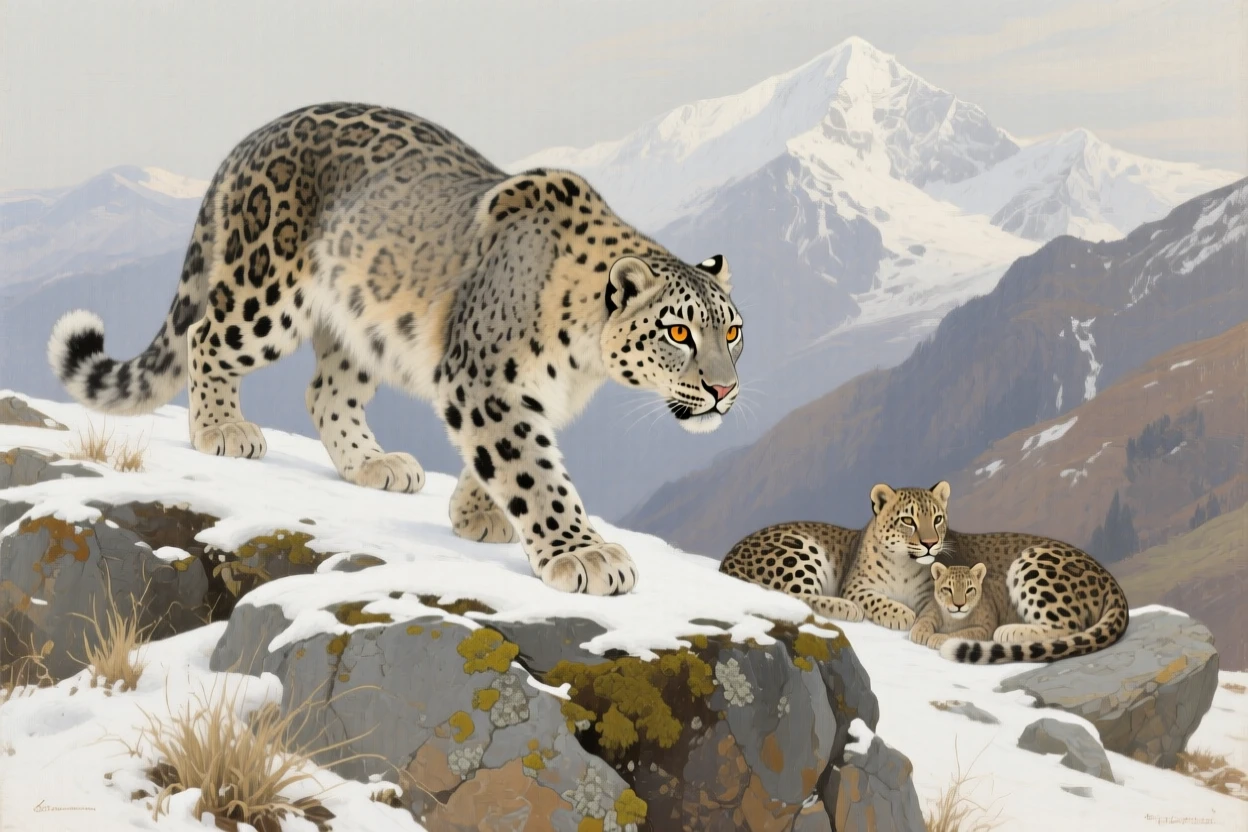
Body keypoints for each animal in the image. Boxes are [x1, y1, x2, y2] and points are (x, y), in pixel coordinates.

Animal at [46, 102, 744, 597]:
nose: (724, 389)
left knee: (324, 391)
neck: (582, 369)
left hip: (359, 330)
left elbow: (496, 460)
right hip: (265, 293)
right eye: (679, 332)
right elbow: (533, 470)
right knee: (206, 334)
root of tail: (256, 134)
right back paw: (222, 428)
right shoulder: (485, 381)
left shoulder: (516, 394)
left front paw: (475, 515)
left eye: (732, 331)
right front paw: (584, 553)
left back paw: (374, 463)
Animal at [719, 482, 956, 630]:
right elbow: (876, 600)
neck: (905, 564)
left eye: (937, 519)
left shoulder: (928, 595)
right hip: (800, 551)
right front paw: (901, 614)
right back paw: (848, 608)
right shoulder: (855, 587)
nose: (930, 543)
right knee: (791, 596)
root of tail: (727, 561)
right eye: (908, 520)